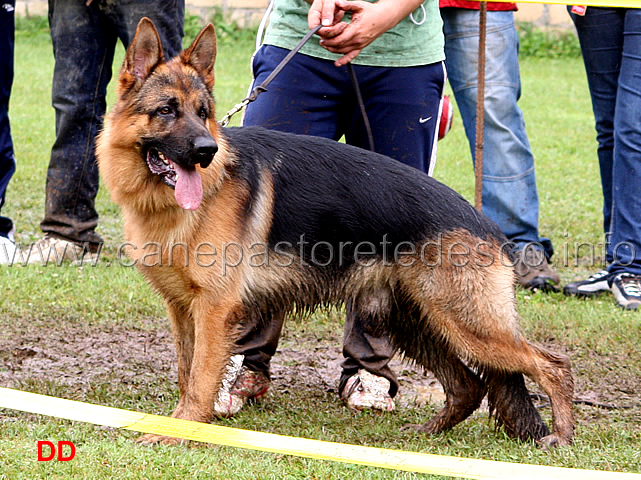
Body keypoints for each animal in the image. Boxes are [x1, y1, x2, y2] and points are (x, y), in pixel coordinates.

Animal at [96, 17, 576, 446]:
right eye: (166, 111)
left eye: (203, 113)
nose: (207, 151)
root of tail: (487, 225)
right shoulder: (183, 309)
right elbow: (185, 371)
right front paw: (179, 423)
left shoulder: (213, 311)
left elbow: (199, 378)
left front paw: (183, 431)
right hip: (416, 325)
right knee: (469, 385)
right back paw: (427, 434)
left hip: (467, 326)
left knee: (553, 364)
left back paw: (562, 436)